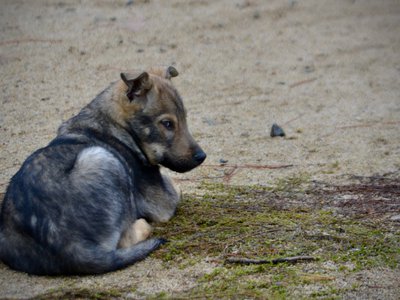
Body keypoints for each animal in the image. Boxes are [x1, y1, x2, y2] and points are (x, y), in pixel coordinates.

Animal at [0, 65, 206, 274]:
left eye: (184, 119)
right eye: (167, 124)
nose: (202, 156)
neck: (114, 124)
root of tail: (71, 249)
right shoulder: (163, 202)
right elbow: (175, 186)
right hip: (102, 157)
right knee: (125, 239)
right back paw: (141, 224)